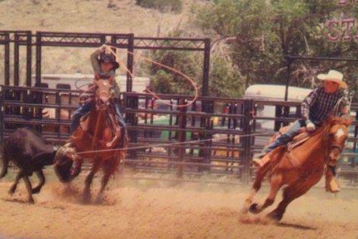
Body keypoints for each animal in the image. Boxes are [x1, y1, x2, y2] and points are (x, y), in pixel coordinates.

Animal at [52, 75, 126, 203]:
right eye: (96, 86)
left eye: (110, 88)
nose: (103, 102)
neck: (95, 131)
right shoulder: (77, 148)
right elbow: (72, 164)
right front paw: (67, 184)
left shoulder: (100, 157)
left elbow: (89, 176)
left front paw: (85, 195)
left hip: (113, 162)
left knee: (104, 180)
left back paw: (98, 198)